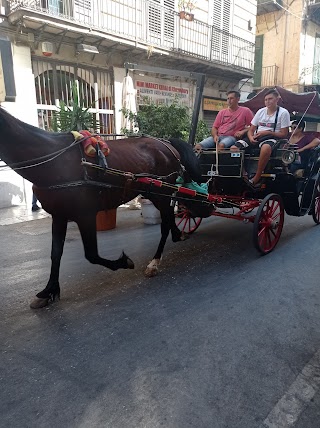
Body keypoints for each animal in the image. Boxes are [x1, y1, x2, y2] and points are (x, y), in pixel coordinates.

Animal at [0, 107, 201, 308]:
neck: (54, 161)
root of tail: (166, 143)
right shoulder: (59, 215)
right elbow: (55, 254)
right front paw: (49, 290)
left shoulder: (86, 215)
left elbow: (91, 255)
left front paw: (124, 262)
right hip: (156, 193)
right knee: (169, 219)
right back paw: (178, 235)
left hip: (161, 193)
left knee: (165, 224)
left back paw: (155, 261)